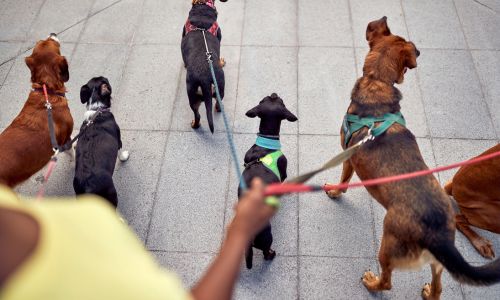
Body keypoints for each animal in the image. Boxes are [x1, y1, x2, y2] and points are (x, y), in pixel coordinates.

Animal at [0, 34, 73, 188]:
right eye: (51, 41)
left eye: (41, 41)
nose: (53, 33)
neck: (47, 90)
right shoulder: (66, 138)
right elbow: (72, 152)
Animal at [73, 77, 130, 207]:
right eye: (106, 81)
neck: (97, 110)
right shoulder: (119, 139)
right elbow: (120, 152)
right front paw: (124, 157)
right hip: (111, 194)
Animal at [182, 0, 227, 132]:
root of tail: (205, 78)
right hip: (220, 86)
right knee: (218, 103)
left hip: (192, 95)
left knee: (197, 115)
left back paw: (194, 125)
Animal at [238, 92, 296, 268]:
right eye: (282, 102)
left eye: (261, 100)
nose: (274, 94)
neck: (265, 147)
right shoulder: (283, 173)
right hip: (267, 237)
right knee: (265, 253)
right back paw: (271, 254)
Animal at [326, 17, 498, 298]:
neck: (377, 81)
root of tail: (438, 233)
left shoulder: (348, 156)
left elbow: (343, 181)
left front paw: (333, 191)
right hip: (436, 262)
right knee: (438, 288)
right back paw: (428, 291)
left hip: (388, 244)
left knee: (387, 281)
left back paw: (371, 282)